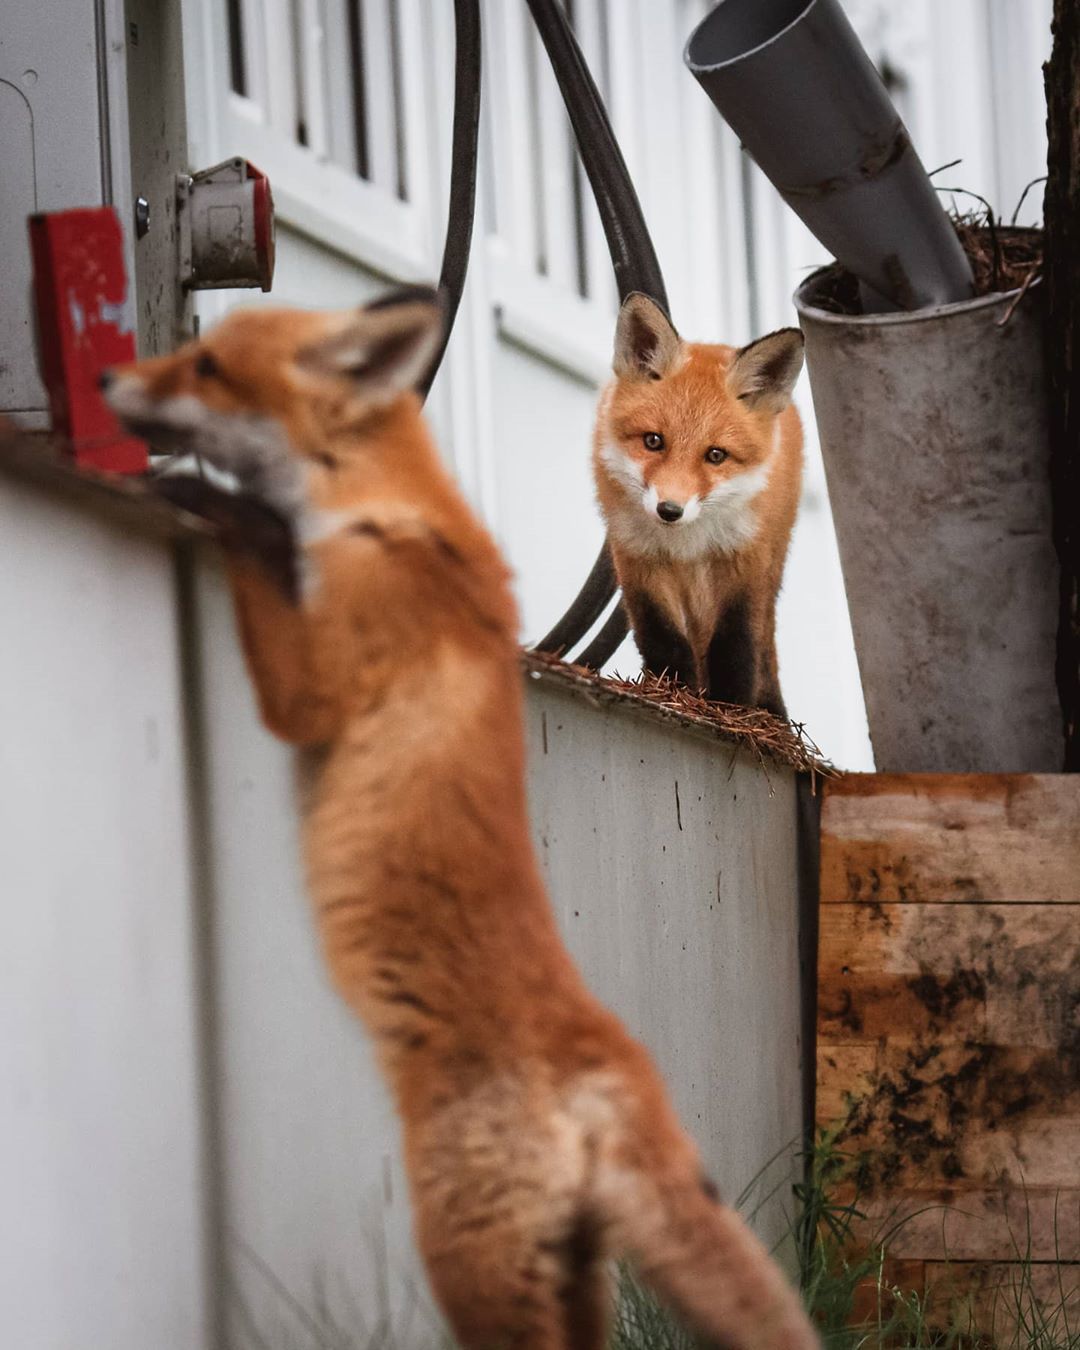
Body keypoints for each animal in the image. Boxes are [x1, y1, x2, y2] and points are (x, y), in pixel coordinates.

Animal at [103, 290, 820, 1350]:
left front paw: (217, 501)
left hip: (470, 1259)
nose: (108, 378)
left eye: (209, 368)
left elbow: (263, 550)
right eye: (650, 442)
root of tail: (606, 1065)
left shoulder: (310, 689)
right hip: (573, 1279)